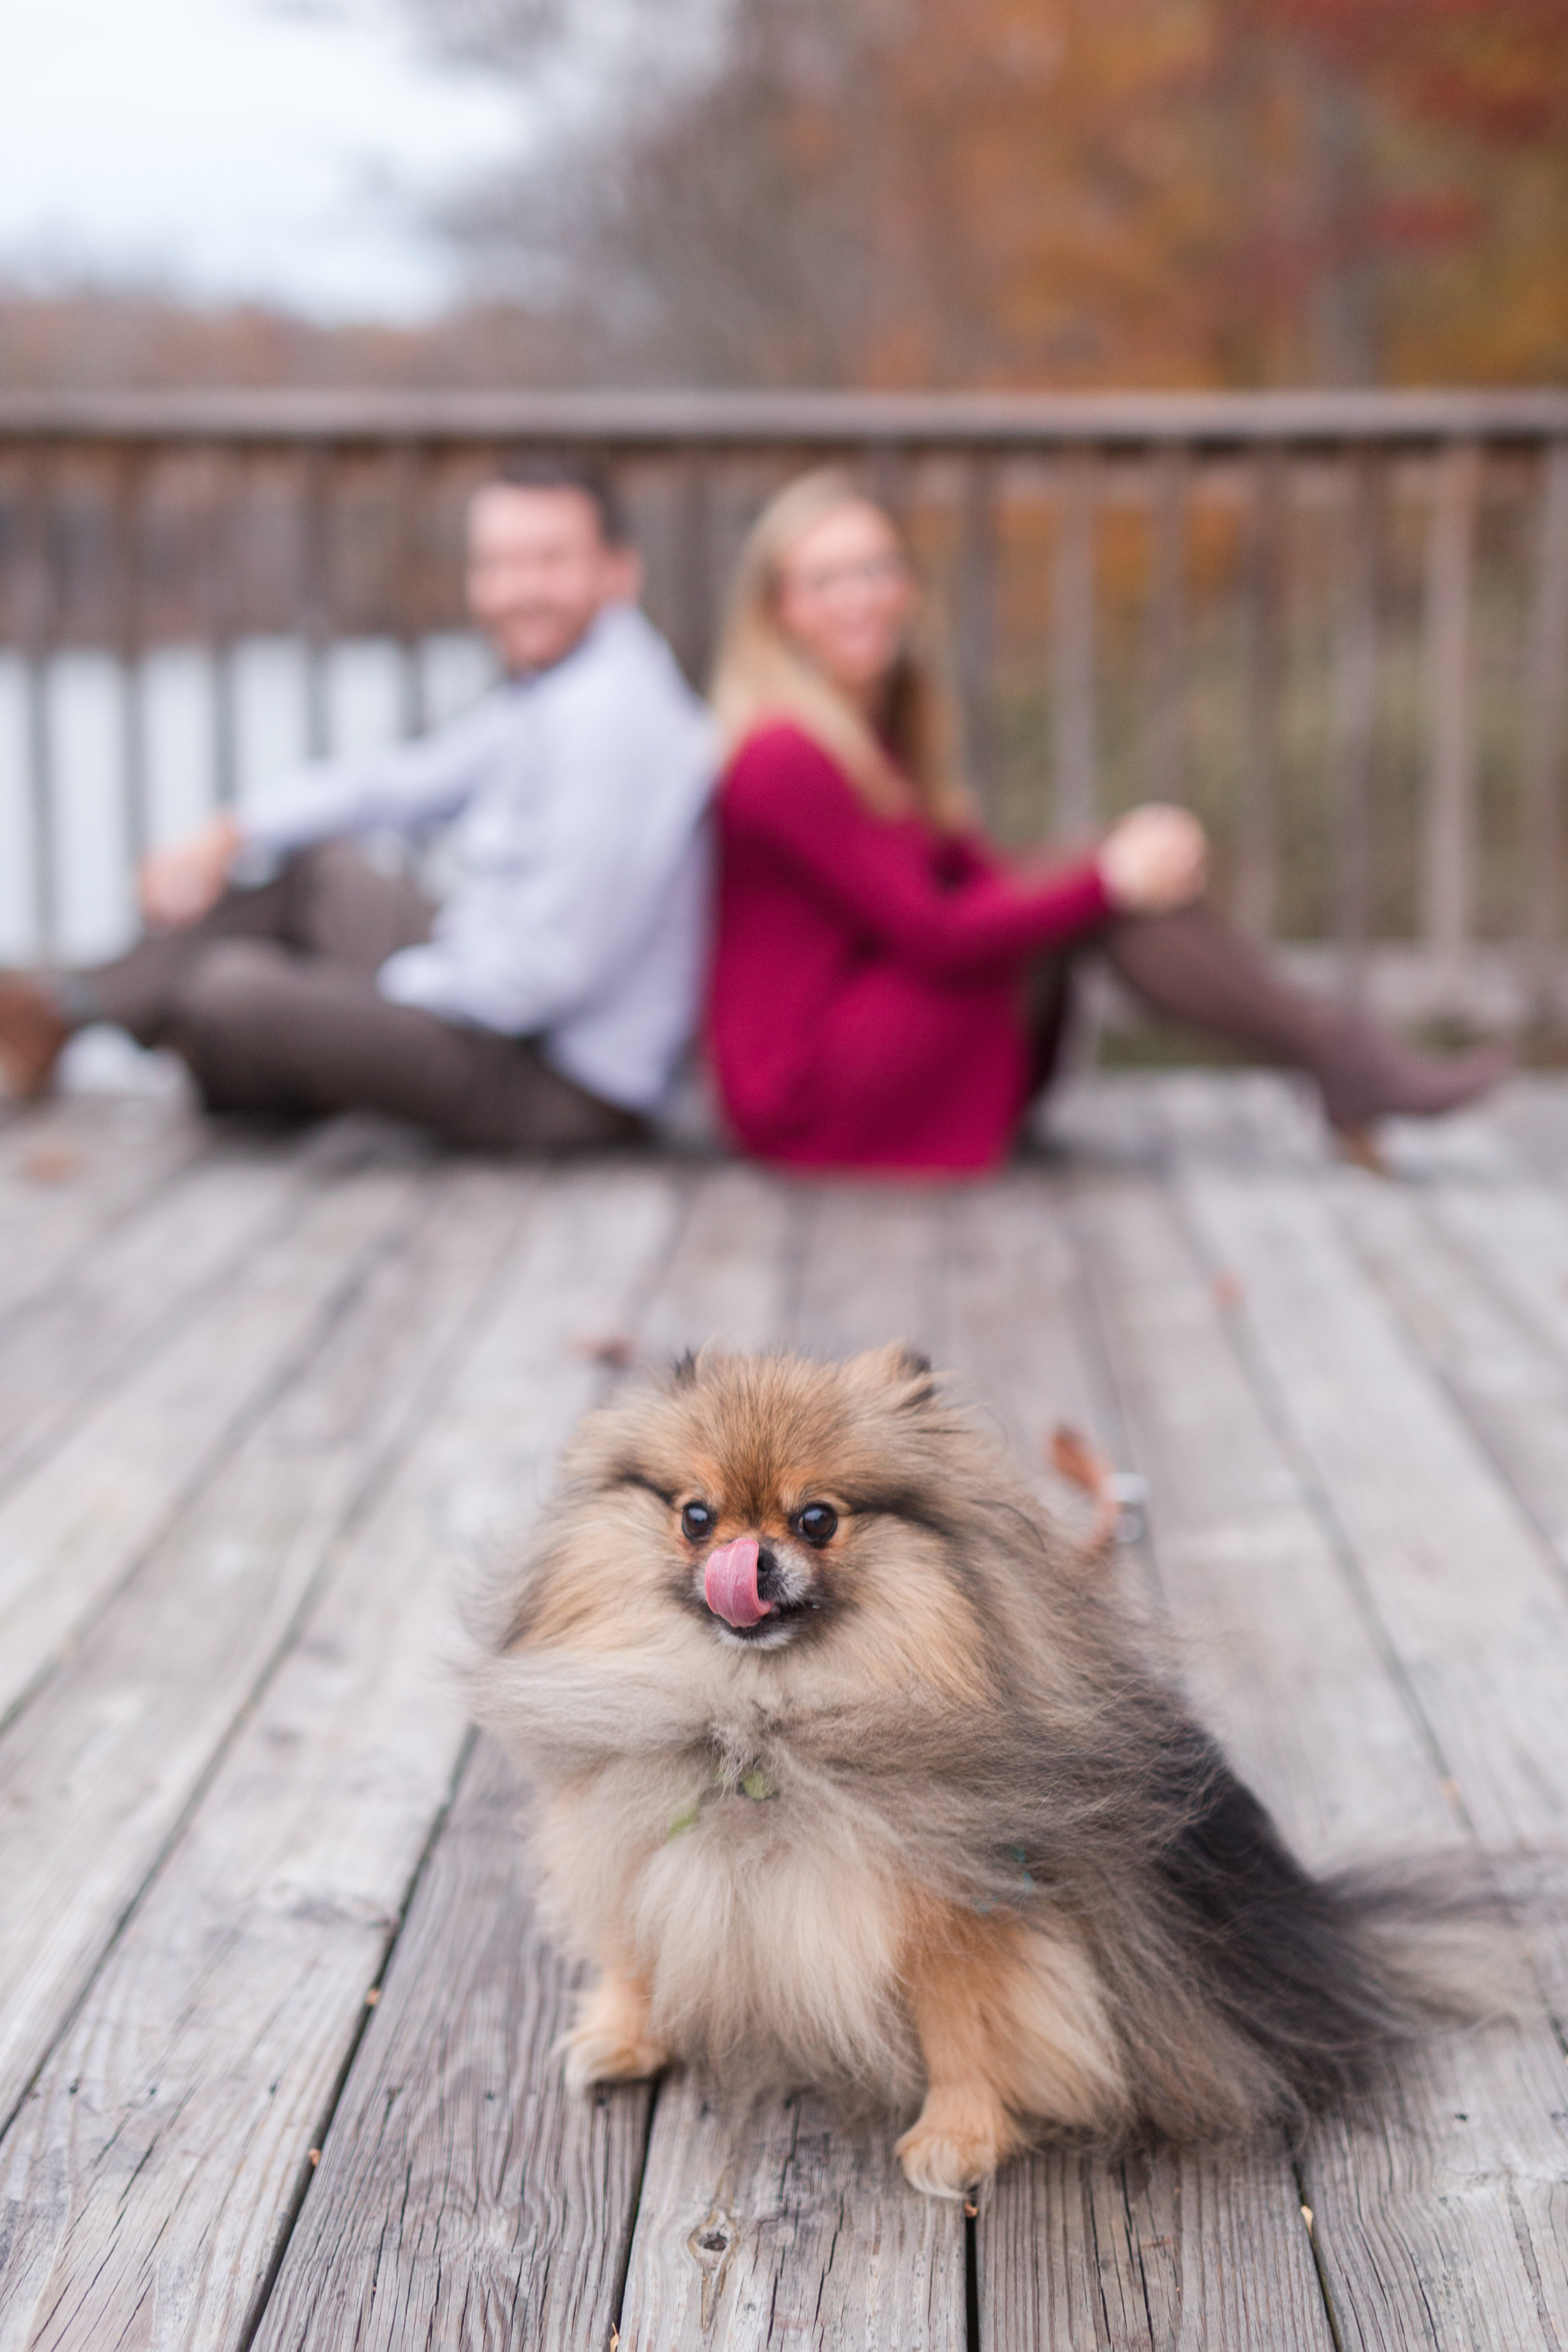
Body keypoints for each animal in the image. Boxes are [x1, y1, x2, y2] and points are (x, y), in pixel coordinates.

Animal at [470, 1345, 1485, 2201]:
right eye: (695, 1516)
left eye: (816, 1519)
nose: (743, 1562)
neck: (764, 1729)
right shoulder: (631, 1845)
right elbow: (634, 1951)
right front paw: (617, 2037)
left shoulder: (960, 1921)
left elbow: (963, 2037)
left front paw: (955, 2137)